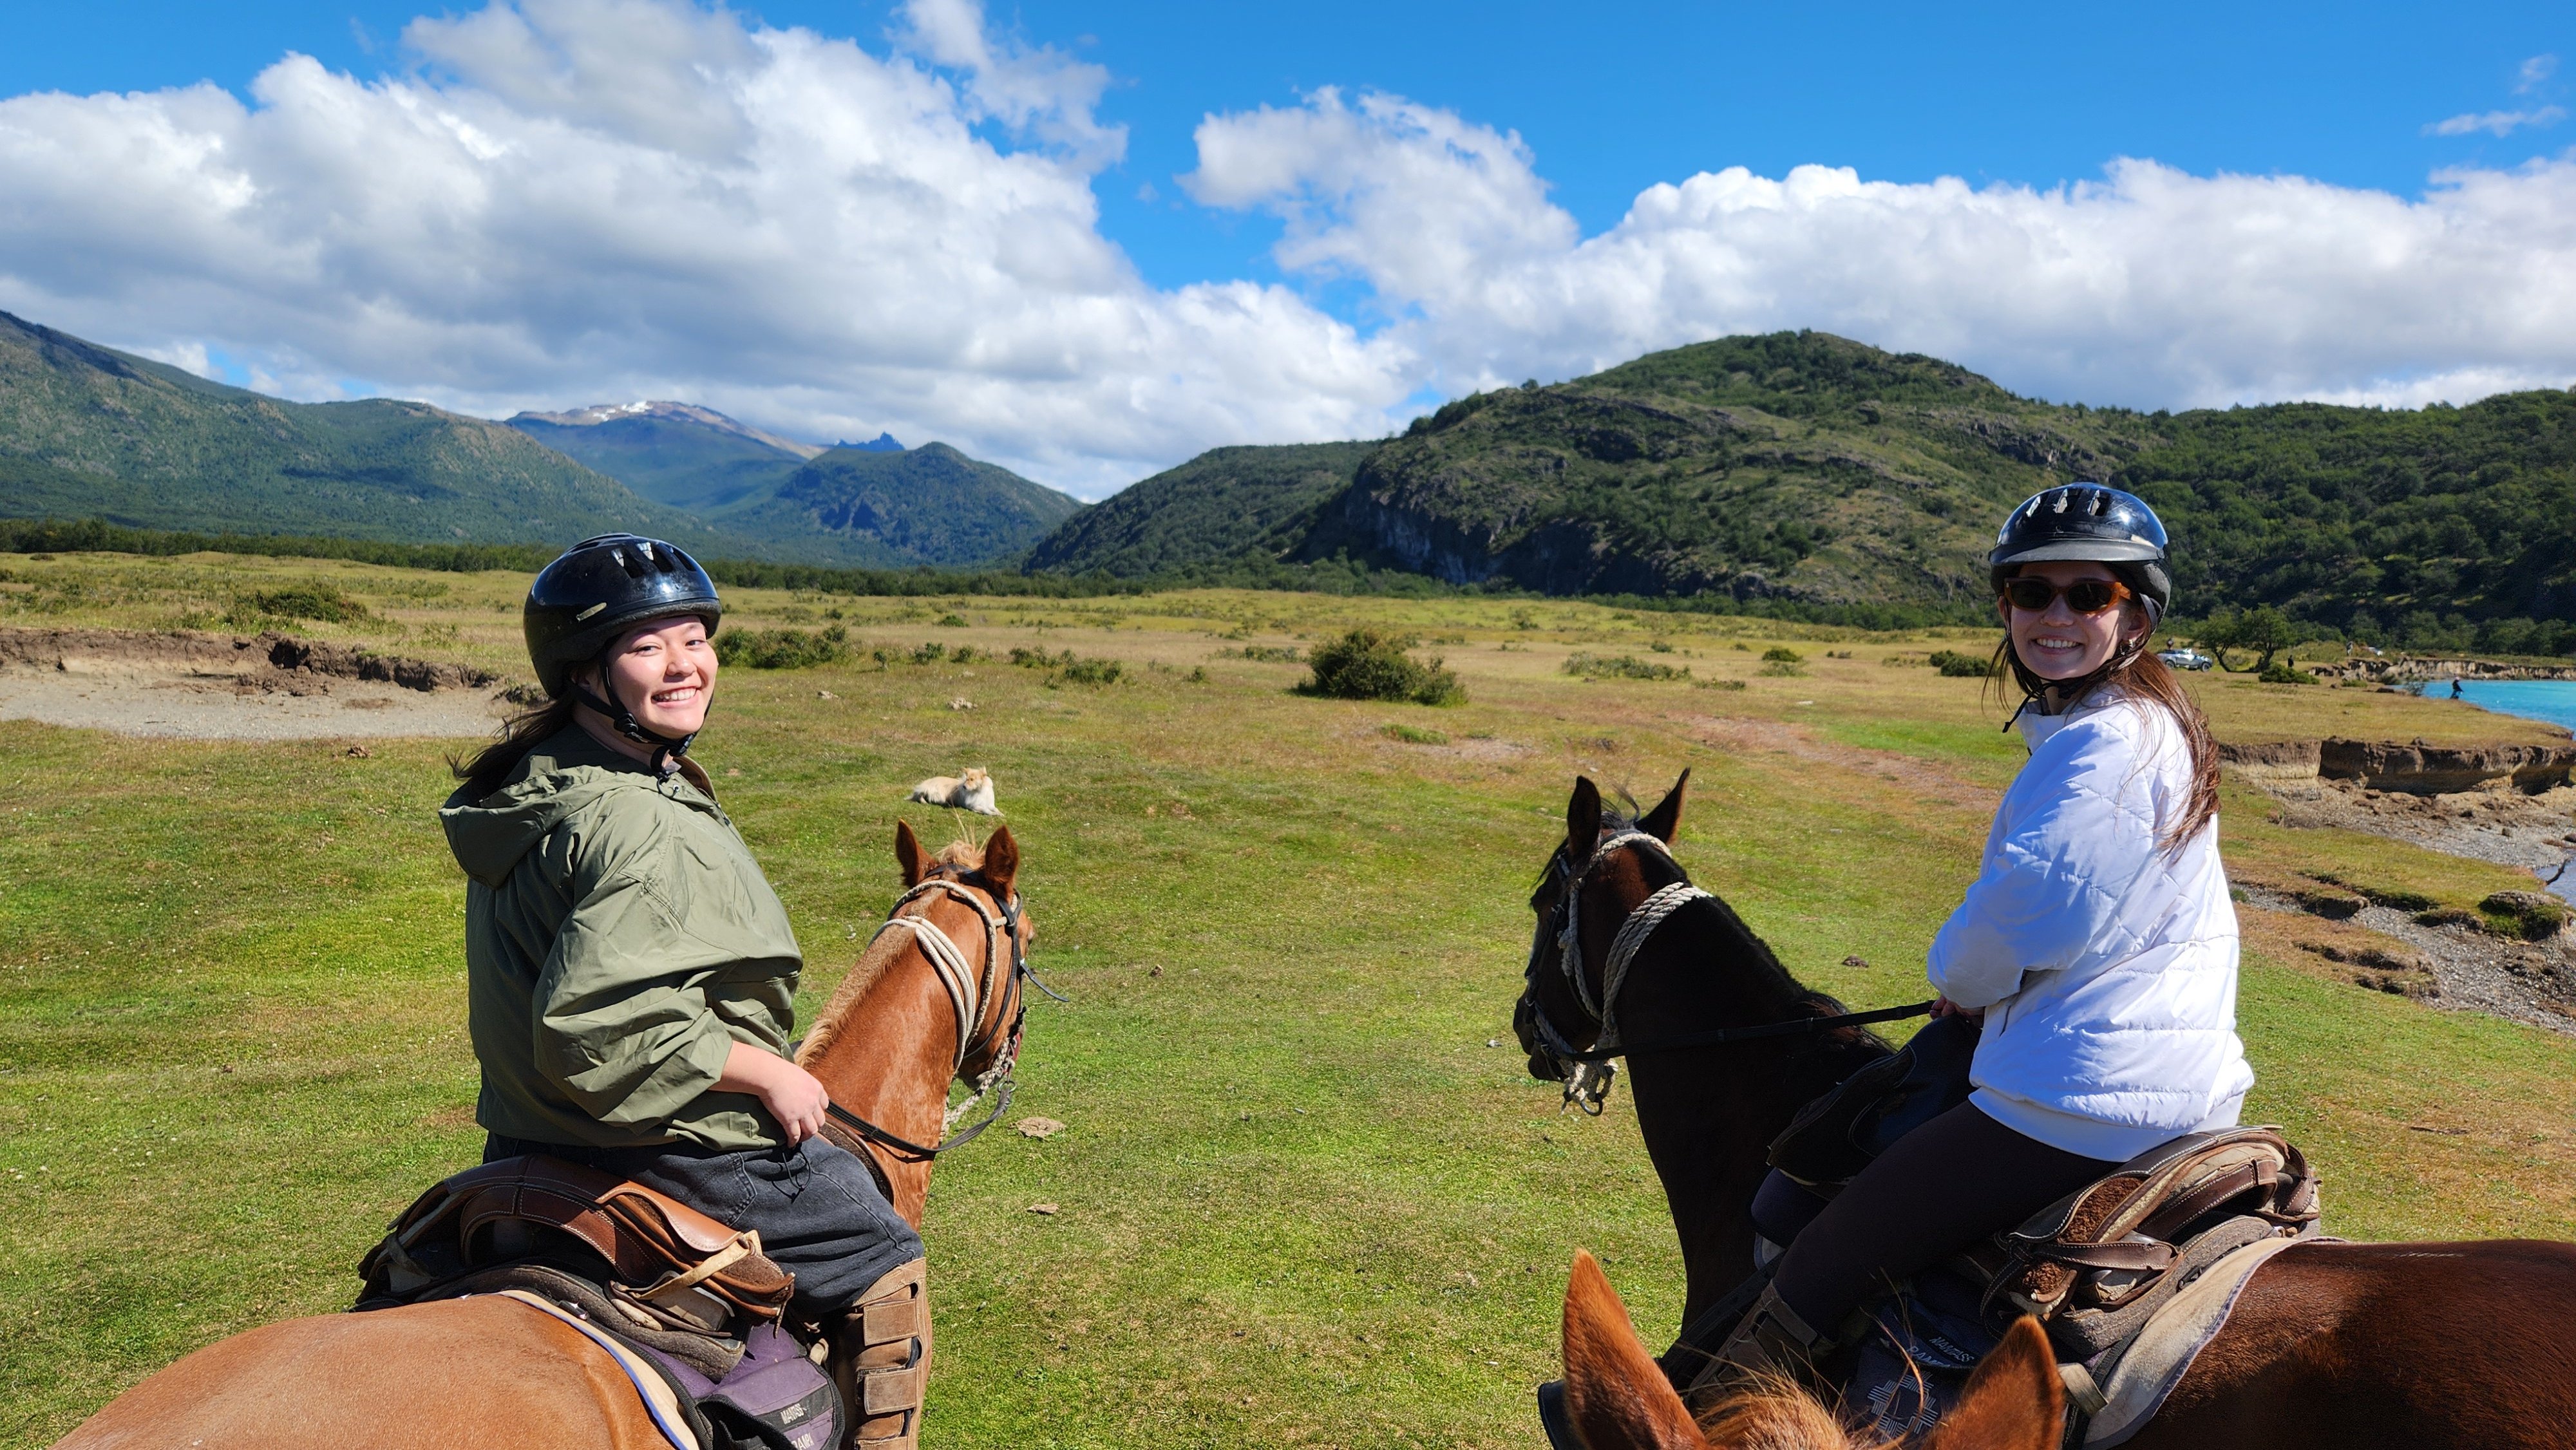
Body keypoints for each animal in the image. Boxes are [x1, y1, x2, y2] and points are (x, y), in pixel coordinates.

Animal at [909, 767, 1000, 816]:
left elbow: (996, 809)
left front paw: (999, 813)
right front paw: (991, 814)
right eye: (966, 779)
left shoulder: (990, 805)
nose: (964, 787)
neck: (979, 791)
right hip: (938, 794)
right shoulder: (973, 805)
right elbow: (985, 809)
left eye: (972, 779)